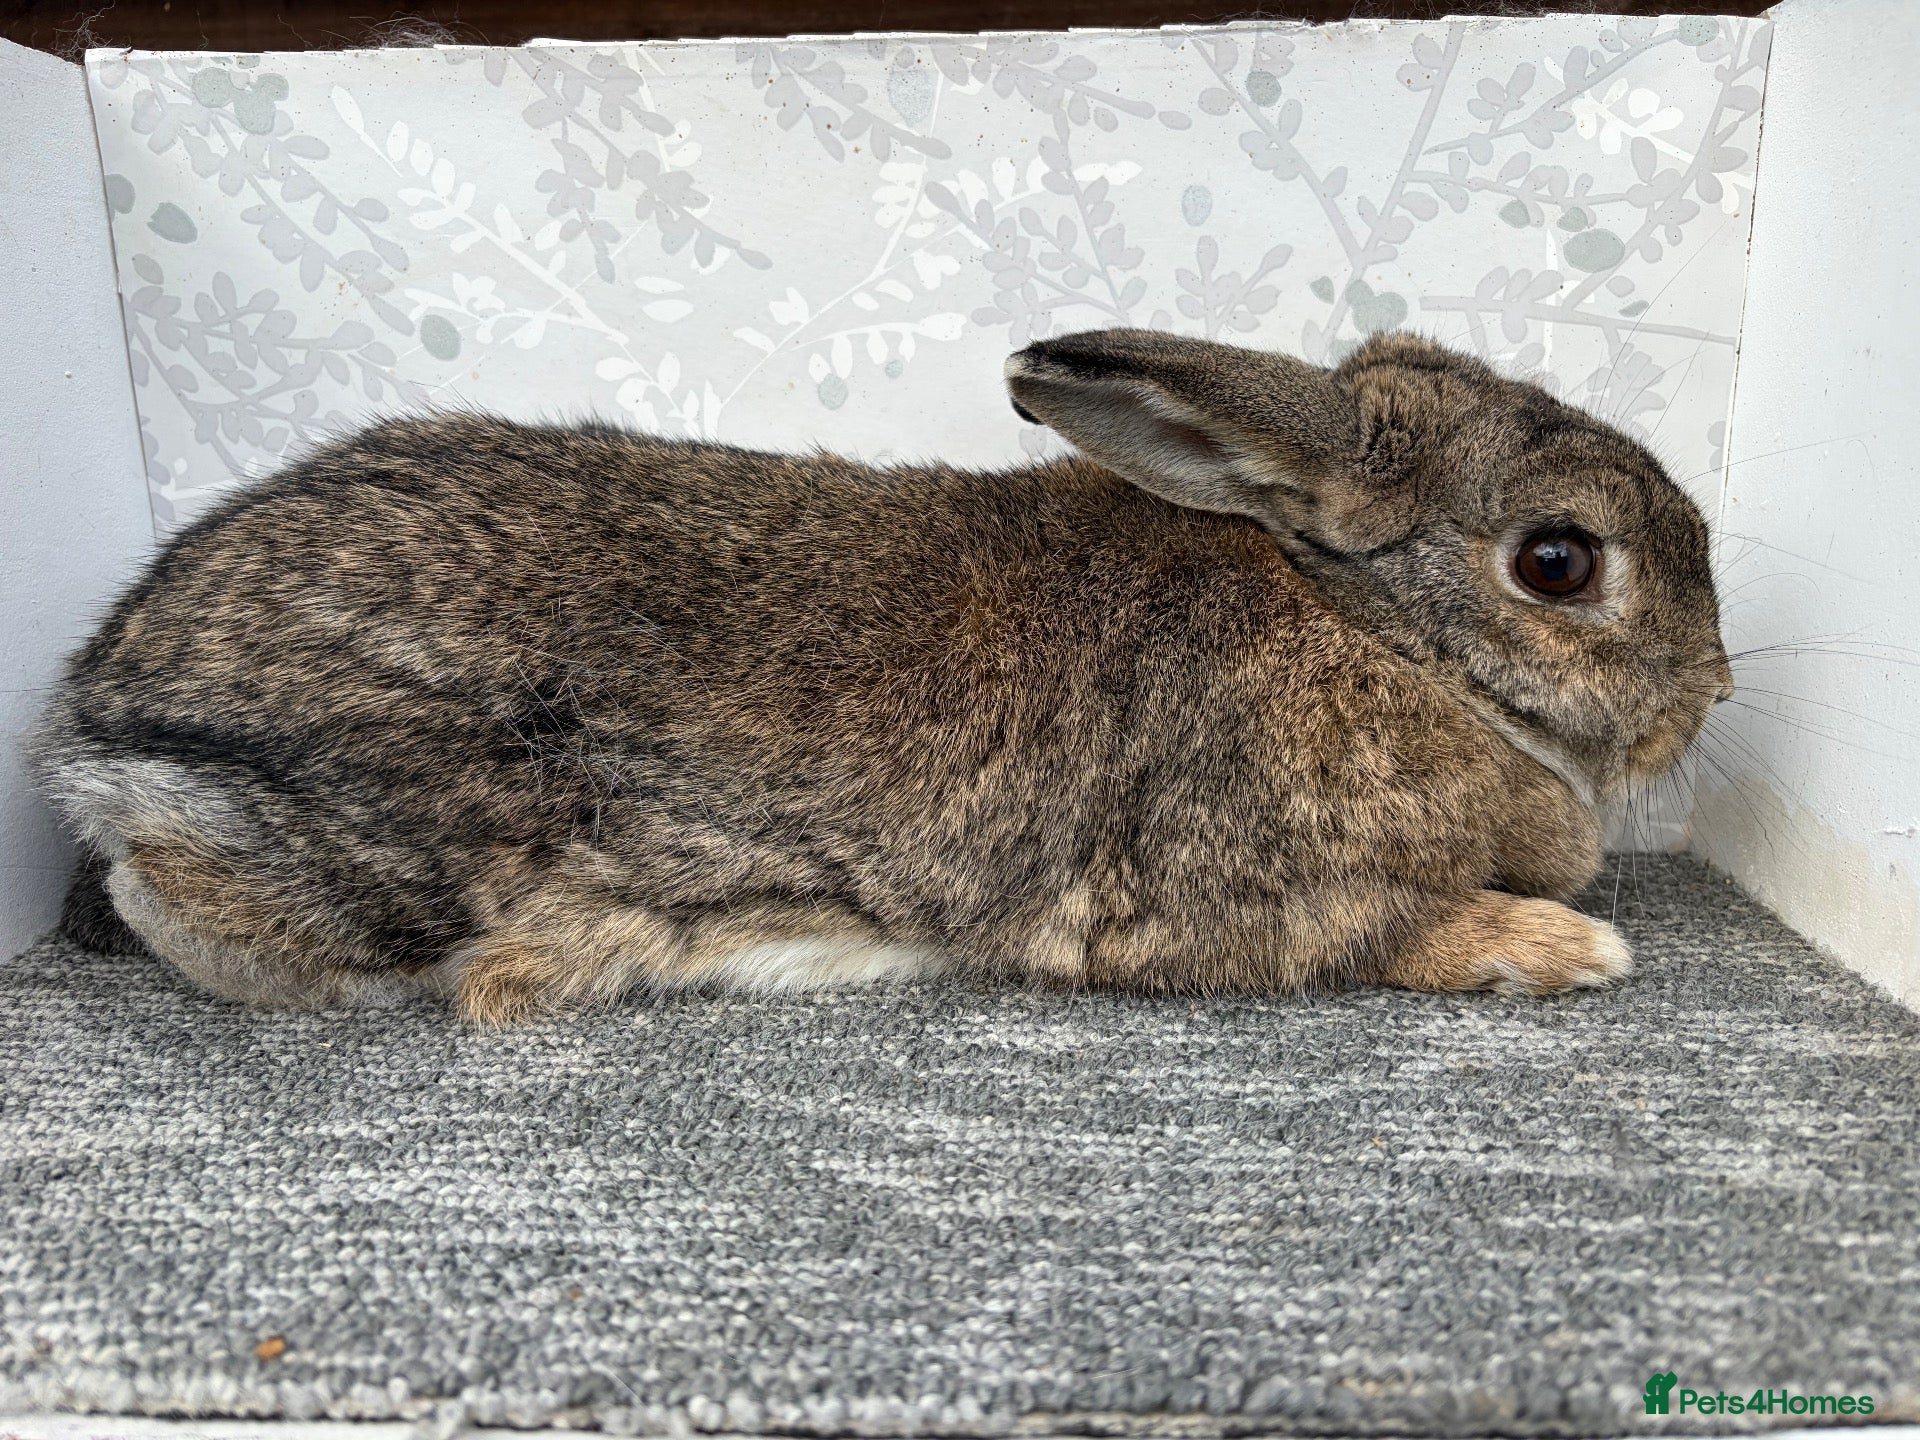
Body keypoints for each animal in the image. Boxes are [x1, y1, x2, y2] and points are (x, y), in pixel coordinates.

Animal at [32, 329, 1732, 1025]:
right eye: (1559, 562)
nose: (1708, 694)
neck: (1377, 628)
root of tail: (89, 716)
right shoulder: (1225, 897)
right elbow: (1393, 931)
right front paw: (1568, 951)